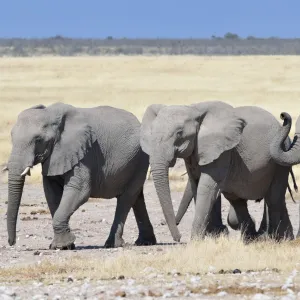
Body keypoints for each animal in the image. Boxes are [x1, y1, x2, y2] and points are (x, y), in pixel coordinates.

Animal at [4, 102, 157, 250]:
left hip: (140, 159)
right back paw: (145, 242)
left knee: (126, 198)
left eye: (39, 140)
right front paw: (64, 246)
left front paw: (62, 245)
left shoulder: (85, 154)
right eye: (11, 136)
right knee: (137, 197)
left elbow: (80, 191)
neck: (52, 114)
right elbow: (51, 194)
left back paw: (112, 244)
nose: (12, 243)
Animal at [142, 99, 294, 243]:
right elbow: (196, 184)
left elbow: (206, 187)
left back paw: (273, 239)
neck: (193, 108)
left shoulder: (223, 152)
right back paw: (253, 239)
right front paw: (211, 237)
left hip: (280, 161)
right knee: (238, 201)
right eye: (151, 132)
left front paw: (196, 242)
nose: (178, 238)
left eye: (179, 133)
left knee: (274, 198)